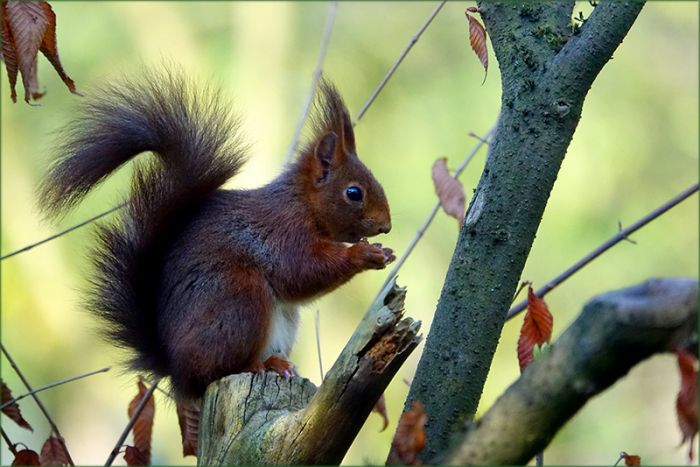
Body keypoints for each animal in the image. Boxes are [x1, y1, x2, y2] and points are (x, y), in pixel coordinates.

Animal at [39, 70, 395, 401]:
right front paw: (365, 255)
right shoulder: (281, 232)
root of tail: (176, 370)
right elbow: (301, 272)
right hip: (239, 299)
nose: (387, 226)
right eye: (353, 193)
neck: (303, 203)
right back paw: (263, 365)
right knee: (220, 368)